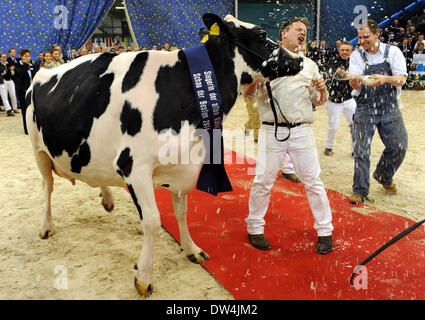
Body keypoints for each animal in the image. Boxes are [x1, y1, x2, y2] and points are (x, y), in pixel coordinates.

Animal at [26, 13, 302, 298]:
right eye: (261, 35)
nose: (299, 59)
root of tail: (46, 71)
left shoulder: (183, 165)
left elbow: (181, 212)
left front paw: (191, 249)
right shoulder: (133, 167)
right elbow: (153, 222)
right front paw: (144, 277)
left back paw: (107, 198)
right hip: (38, 149)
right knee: (47, 186)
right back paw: (46, 226)